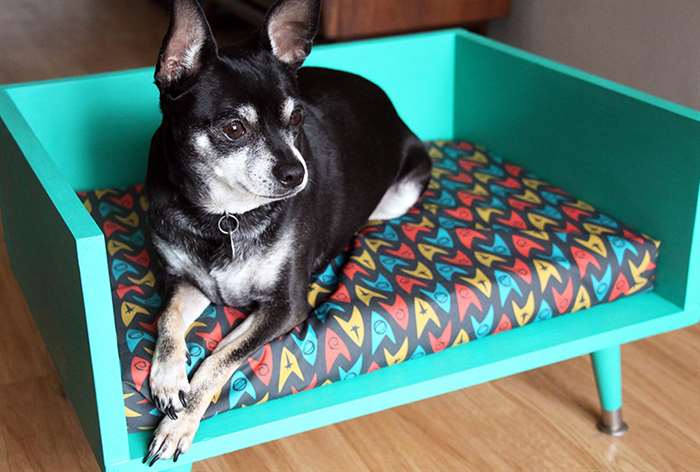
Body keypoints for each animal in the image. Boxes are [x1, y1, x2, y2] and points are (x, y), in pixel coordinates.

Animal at [144, 0, 430, 464]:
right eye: (234, 129)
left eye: (296, 118)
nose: (297, 173)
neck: (225, 215)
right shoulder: (186, 281)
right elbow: (167, 320)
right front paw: (169, 380)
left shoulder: (285, 307)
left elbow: (221, 356)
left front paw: (178, 423)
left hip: (398, 197)